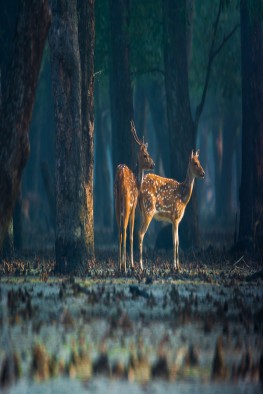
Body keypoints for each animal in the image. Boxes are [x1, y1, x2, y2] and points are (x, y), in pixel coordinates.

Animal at [115, 121, 156, 272]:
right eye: (145, 155)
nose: (153, 164)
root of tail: (120, 175)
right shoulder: (134, 207)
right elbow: (132, 233)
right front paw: (132, 264)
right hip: (127, 202)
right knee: (125, 231)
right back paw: (124, 266)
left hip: (116, 201)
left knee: (119, 231)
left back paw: (119, 265)